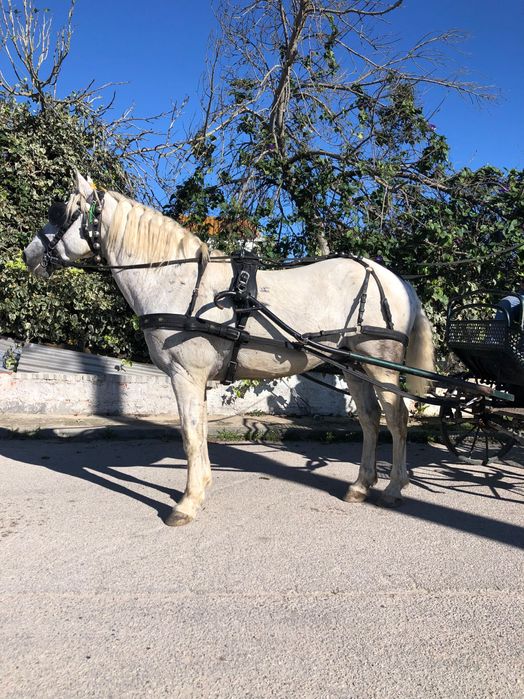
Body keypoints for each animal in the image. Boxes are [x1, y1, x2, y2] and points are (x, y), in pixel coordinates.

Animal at [23, 172, 435, 526]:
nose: (28, 255)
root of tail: (396, 280)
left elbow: (189, 434)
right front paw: (201, 488)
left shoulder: (185, 375)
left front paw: (187, 503)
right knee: (369, 419)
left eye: (62, 213)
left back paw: (395, 488)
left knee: (396, 418)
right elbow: (199, 432)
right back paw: (361, 485)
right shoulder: (196, 379)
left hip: (380, 363)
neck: (177, 279)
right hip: (353, 364)